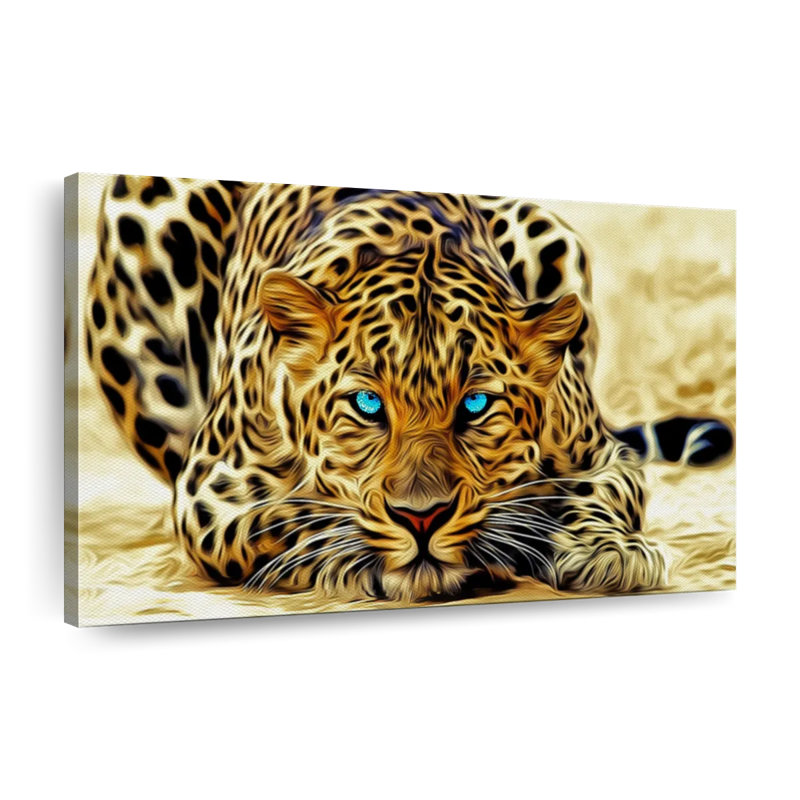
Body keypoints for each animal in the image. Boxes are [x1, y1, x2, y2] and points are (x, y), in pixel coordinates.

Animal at [85, 175, 733, 603]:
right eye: (367, 404)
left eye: (476, 404)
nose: (422, 519)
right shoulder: (210, 491)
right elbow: (290, 516)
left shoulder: (602, 454)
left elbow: (599, 494)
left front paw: (608, 550)